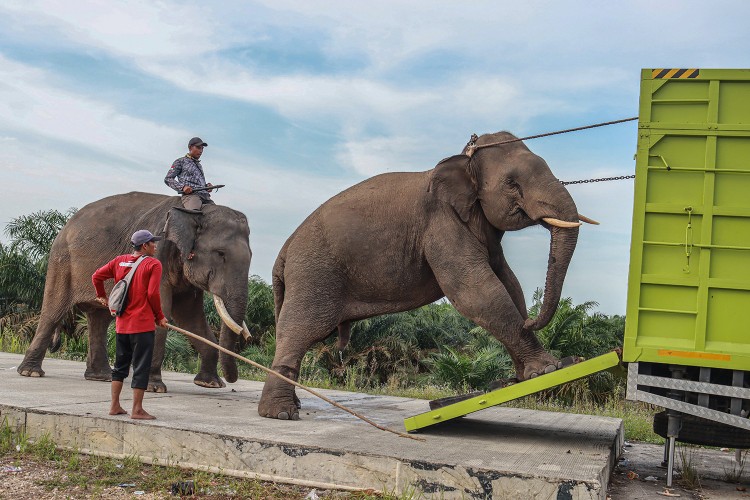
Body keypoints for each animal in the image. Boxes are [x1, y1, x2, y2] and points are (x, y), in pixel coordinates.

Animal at [16, 191, 253, 390]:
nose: (232, 380)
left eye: (251, 256)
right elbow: (161, 311)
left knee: (99, 318)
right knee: (53, 312)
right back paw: (30, 372)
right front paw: (154, 388)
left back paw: (101, 377)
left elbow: (191, 319)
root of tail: (66, 224)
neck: (196, 212)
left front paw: (210, 384)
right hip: (62, 261)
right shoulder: (159, 253)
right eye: (220, 253)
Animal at [262, 131, 596, 420]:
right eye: (512, 183)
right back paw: (281, 414)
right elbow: (476, 290)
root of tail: (284, 251)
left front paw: (529, 375)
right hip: (314, 273)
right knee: (301, 330)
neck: (463, 162)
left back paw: (291, 406)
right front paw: (549, 370)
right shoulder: (441, 223)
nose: (532, 321)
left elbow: (508, 282)